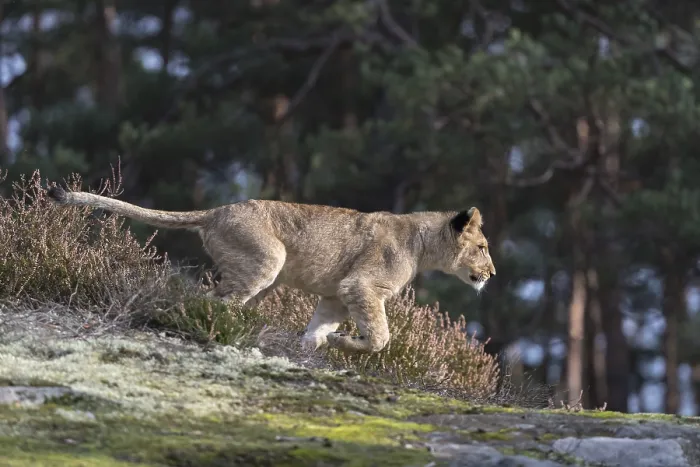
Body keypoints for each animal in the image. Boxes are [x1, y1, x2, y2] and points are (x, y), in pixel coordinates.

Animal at [47, 186, 495, 353]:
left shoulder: (336, 295)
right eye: (483, 248)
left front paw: (318, 345)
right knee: (214, 301)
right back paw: (221, 329)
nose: (492, 274)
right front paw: (346, 343)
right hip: (267, 260)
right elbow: (381, 337)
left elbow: (319, 327)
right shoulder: (362, 285)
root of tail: (217, 210)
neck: (422, 244)